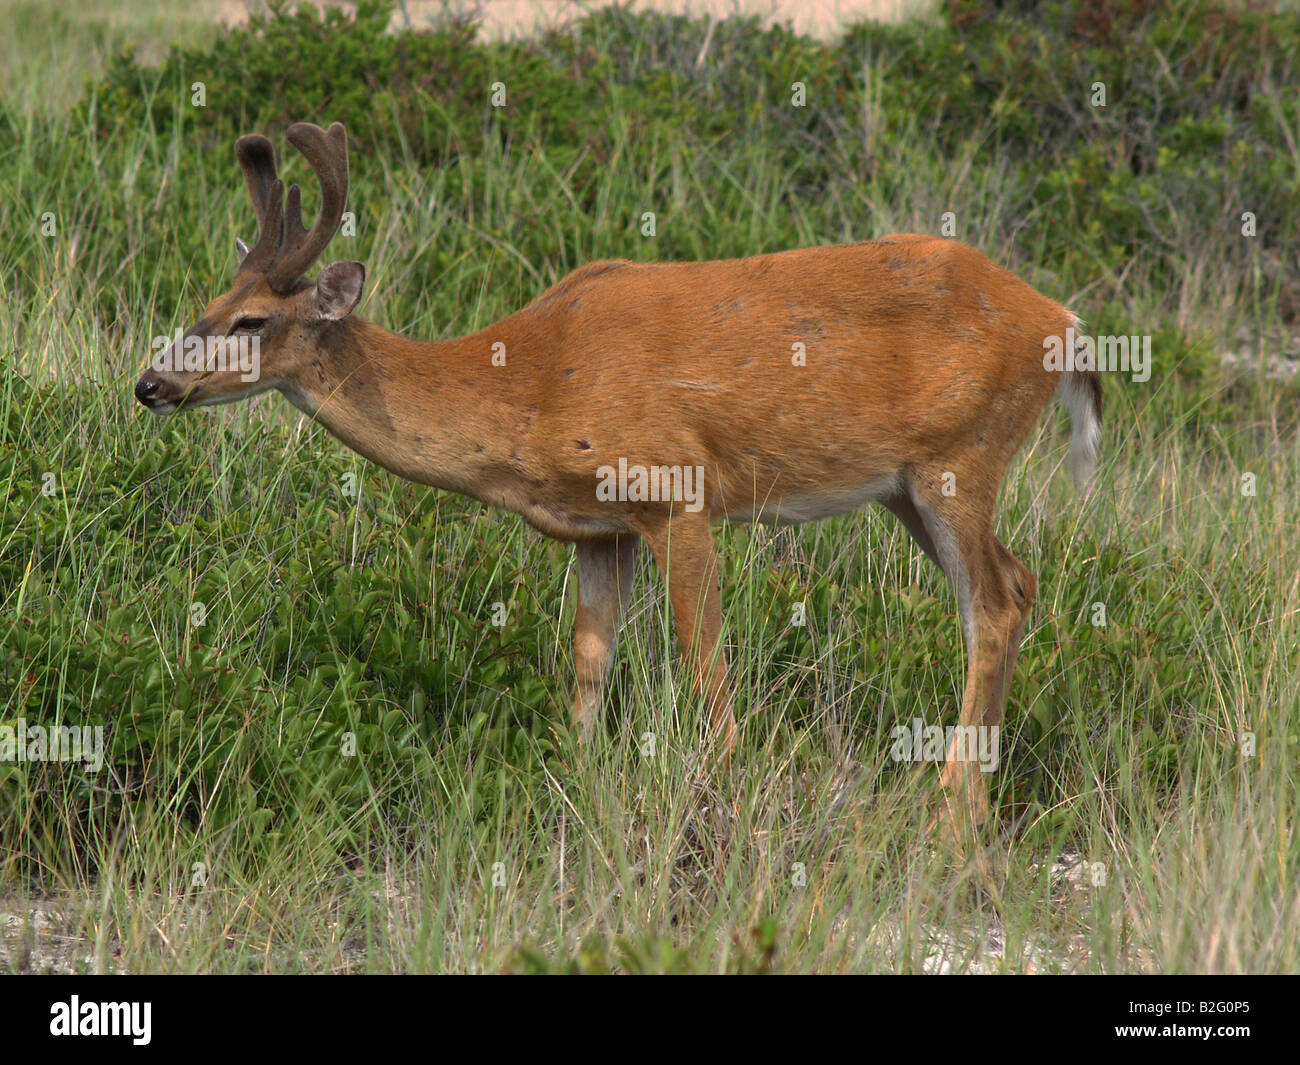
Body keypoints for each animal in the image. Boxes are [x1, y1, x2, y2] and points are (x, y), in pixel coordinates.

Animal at [139, 122, 1097, 842]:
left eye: (251, 319)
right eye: (209, 300)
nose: (152, 383)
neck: (529, 385)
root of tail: (1063, 319)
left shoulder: (677, 489)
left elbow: (705, 658)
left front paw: (723, 792)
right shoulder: (597, 528)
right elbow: (589, 662)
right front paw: (572, 781)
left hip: (960, 455)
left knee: (997, 601)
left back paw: (952, 812)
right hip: (907, 486)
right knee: (1010, 588)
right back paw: (967, 800)